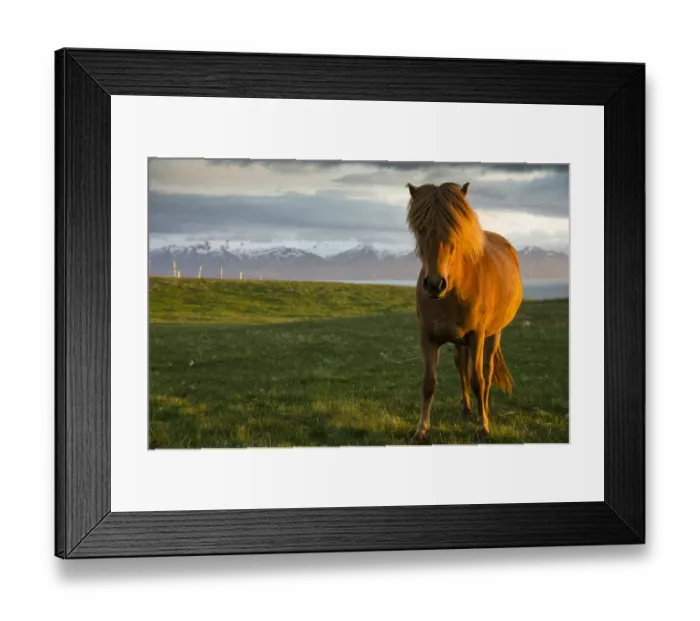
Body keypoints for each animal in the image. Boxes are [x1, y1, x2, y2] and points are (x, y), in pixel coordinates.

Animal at [405, 181, 523, 443]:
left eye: (454, 228)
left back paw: (483, 410)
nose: (434, 284)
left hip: (492, 334)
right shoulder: (427, 337)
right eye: (420, 228)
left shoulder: (477, 335)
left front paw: (483, 426)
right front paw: (421, 429)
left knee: (485, 373)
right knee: (462, 368)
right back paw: (467, 407)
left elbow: (479, 380)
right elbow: (428, 383)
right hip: (459, 342)